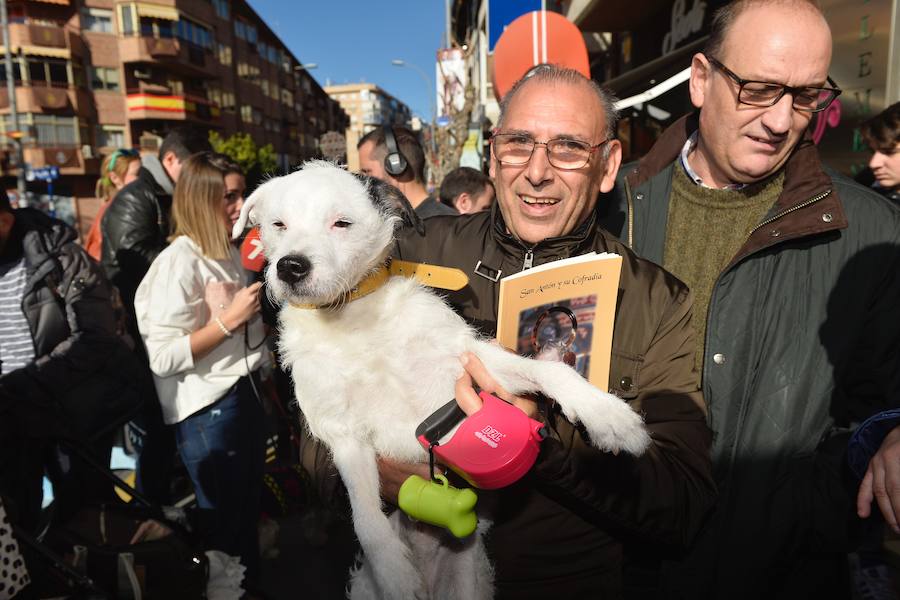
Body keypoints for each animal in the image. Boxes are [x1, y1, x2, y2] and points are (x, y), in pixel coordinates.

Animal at [232, 161, 652, 600]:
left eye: (341, 223)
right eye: (278, 224)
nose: (290, 266)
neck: (355, 321)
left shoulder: (469, 360)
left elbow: (549, 370)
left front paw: (608, 416)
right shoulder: (343, 436)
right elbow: (366, 519)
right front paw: (395, 575)